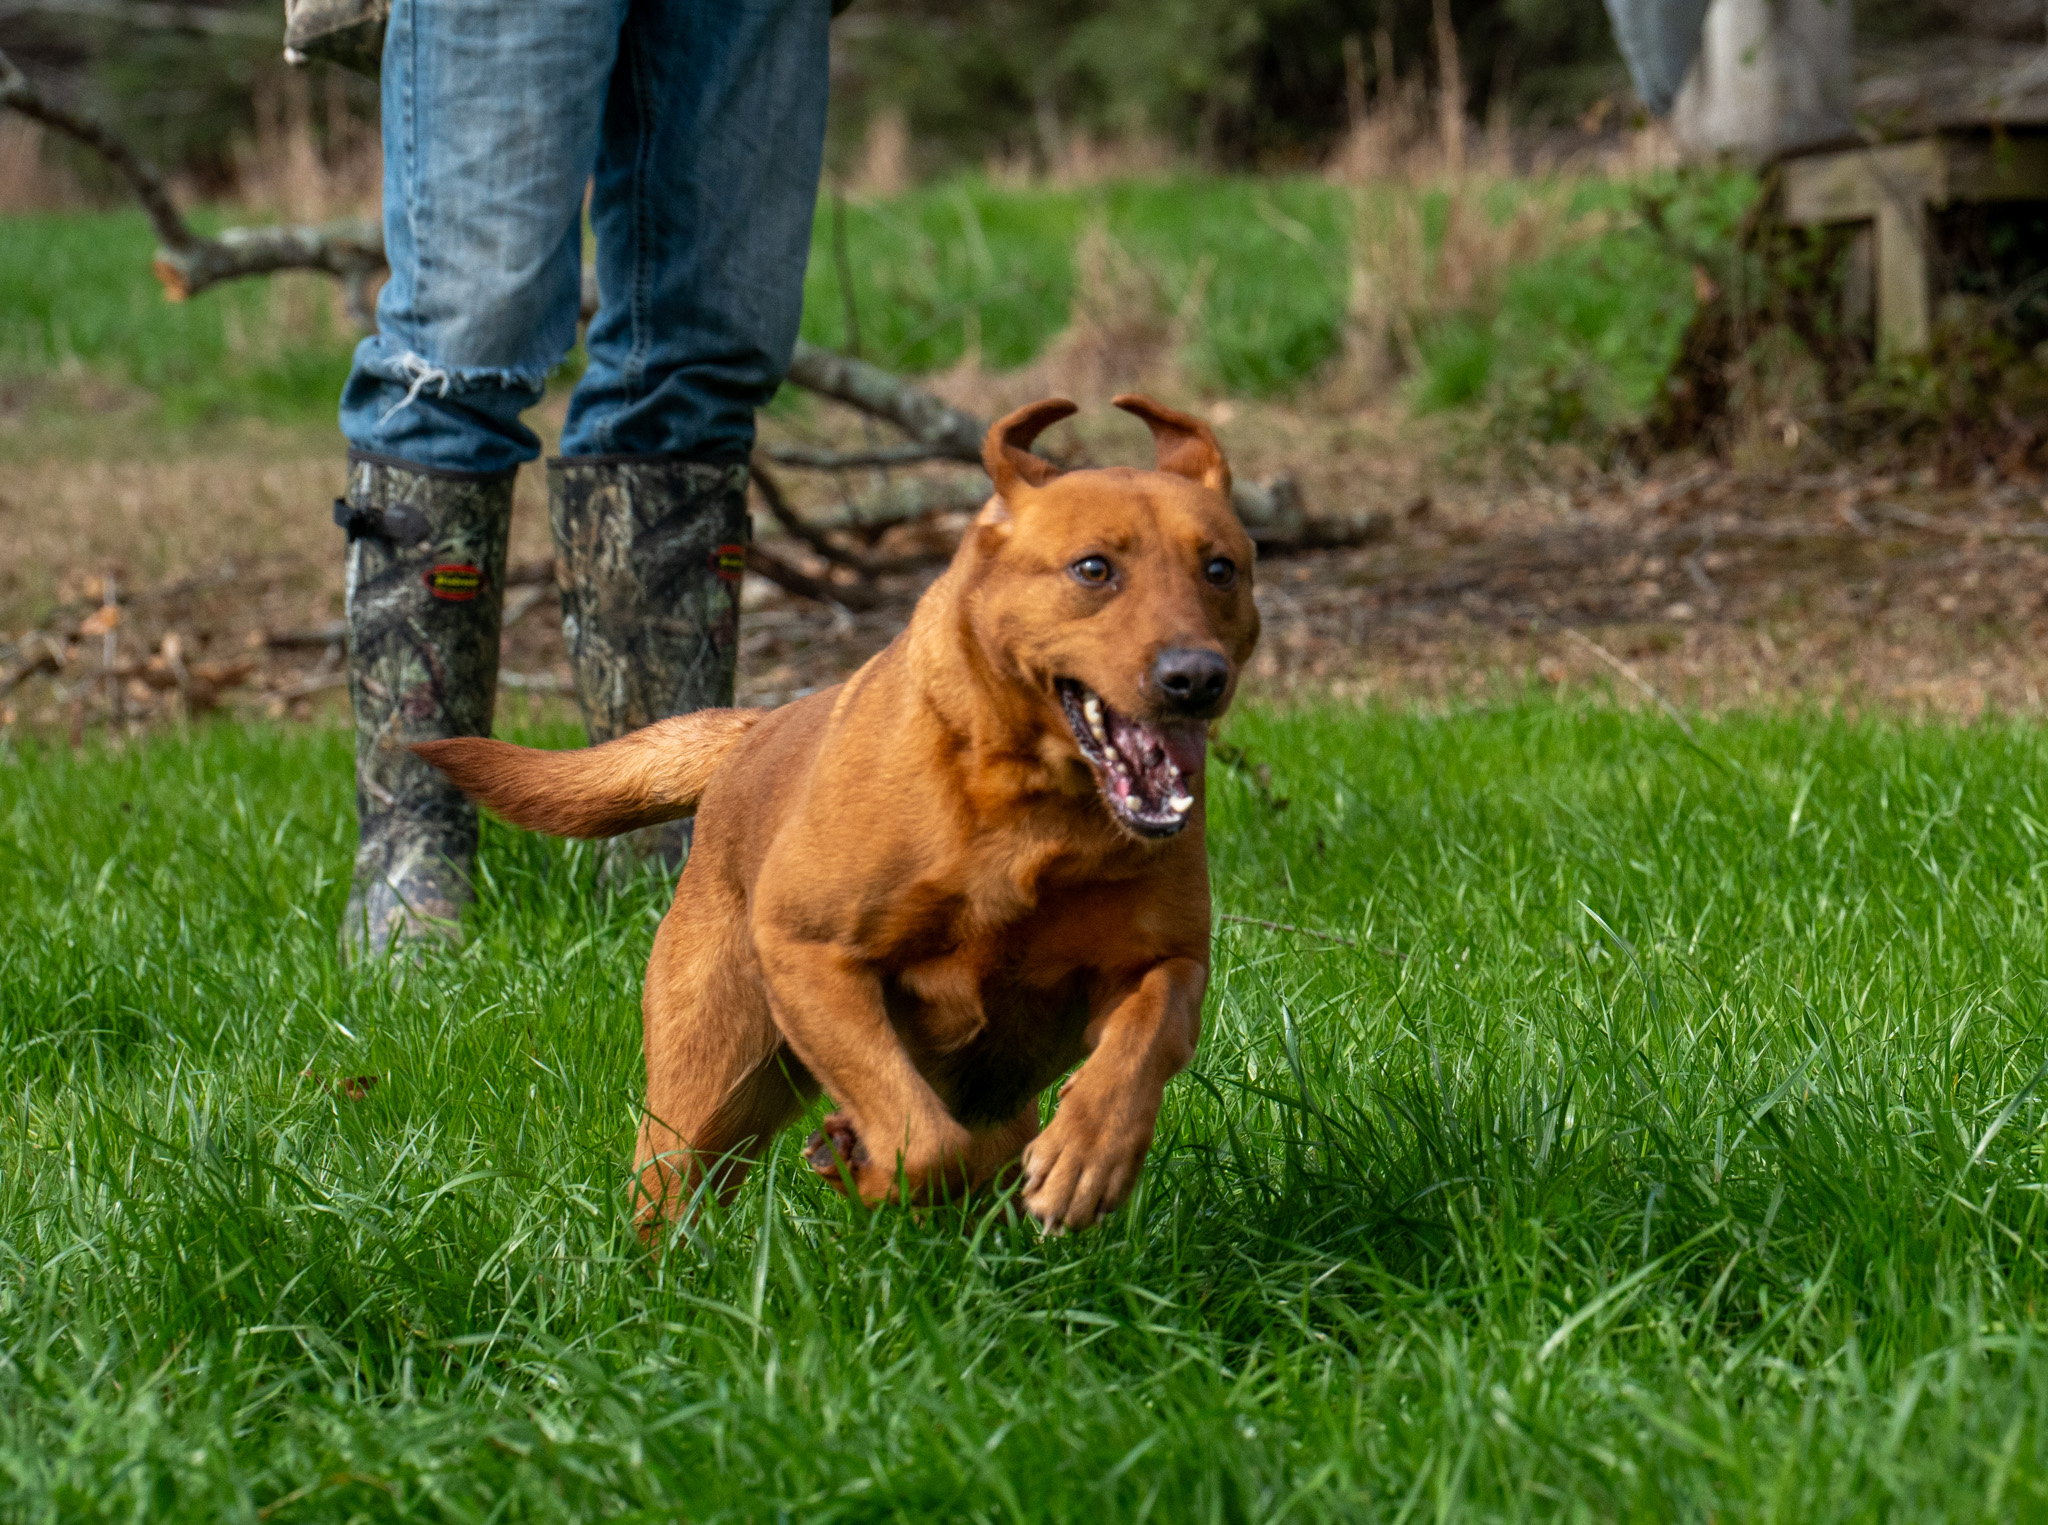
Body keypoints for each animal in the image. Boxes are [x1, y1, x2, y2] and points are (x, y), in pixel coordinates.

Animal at [415, 394, 1260, 1234]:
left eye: (1221, 569)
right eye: (1093, 569)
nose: (1195, 677)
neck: (1035, 813)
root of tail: (751, 731)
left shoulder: (1167, 961)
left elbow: (1142, 1036)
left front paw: (1088, 1155)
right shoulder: (810, 953)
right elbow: (925, 1142)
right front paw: (865, 1164)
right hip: (710, 1089)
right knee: (675, 1194)